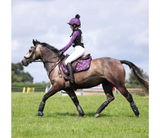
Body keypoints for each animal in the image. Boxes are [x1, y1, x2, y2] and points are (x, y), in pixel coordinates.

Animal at [21, 39, 149, 118]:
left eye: (30, 50)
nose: (23, 61)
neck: (55, 63)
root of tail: (118, 61)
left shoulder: (57, 86)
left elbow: (45, 96)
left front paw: (40, 112)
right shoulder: (67, 88)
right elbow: (75, 100)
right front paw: (81, 114)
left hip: (119, 84)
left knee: (128, 96)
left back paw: (136, 113)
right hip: (106, 84)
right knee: (110, 97)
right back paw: (97, 113)